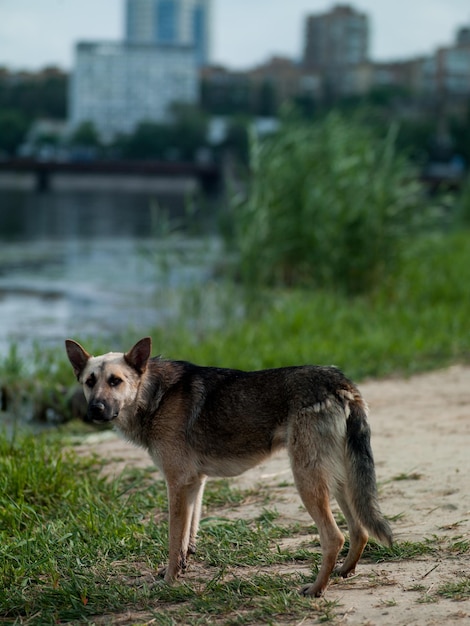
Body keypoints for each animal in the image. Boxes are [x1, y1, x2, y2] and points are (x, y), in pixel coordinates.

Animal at [64, 336, 392, 596]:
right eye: (89, 382)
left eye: (115, 381)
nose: (96, 410)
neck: (153, 394)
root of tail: (341, 383)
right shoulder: (194, 483)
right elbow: (188, 536)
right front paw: (180, 568)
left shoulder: (176, 483)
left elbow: (173, 538)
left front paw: (168, 581)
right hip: (339, 480)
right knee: (359, 531)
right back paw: (343, 573)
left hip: (307, 479)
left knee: (334, 537)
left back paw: (316, 589)